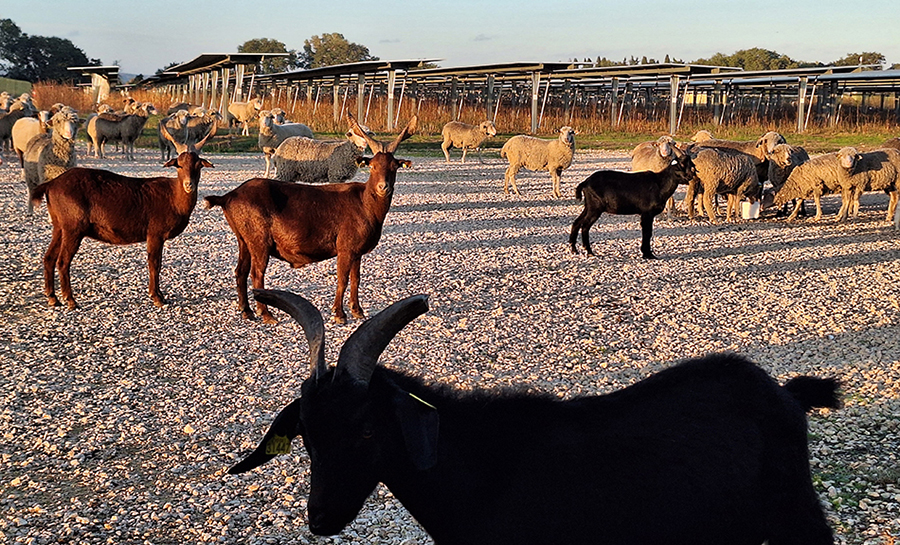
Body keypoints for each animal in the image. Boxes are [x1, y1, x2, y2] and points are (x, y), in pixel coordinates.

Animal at [30, 151, 214, 308]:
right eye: (179, 165)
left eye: (199, 165)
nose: (189, 185)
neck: (173, 198)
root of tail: (50, 184)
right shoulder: (155, 233)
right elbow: (154, 263)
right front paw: (157, 297)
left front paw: (160, 295)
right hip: (73, 227)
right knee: (63, 261)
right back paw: (70, 300)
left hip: (59, 226)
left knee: (49, 257)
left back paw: (53, 298)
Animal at [205, 112, 418, 320]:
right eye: (372, 166)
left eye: (394, 166)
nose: (383, 187)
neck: (365, 206)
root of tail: (228, 196)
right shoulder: (345, 246)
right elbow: (342, 279)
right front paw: (339, 314)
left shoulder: (358, 250)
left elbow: (356, 279)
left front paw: (357, 311)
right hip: (259, 239)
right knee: (256, 274)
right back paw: (266, 314)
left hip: (243, 237)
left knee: (240, 271)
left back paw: (247, 311)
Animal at [229, 288, 840, 544]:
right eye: (307, 436)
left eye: (367, 430)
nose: (320, 520)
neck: (478, 472)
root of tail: (785, 394)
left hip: (798, 519)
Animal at [568, 151, 696, 258]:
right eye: (680, 165)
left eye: (690, 164)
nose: (690, 176)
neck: (660, 184)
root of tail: (585, 183)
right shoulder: (647, 213)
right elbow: (647, 232)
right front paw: (648, 254)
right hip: (595, 208)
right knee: (585, 226)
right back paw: (589, 251)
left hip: (589, 207)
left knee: (577, 222)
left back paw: (574, 249)